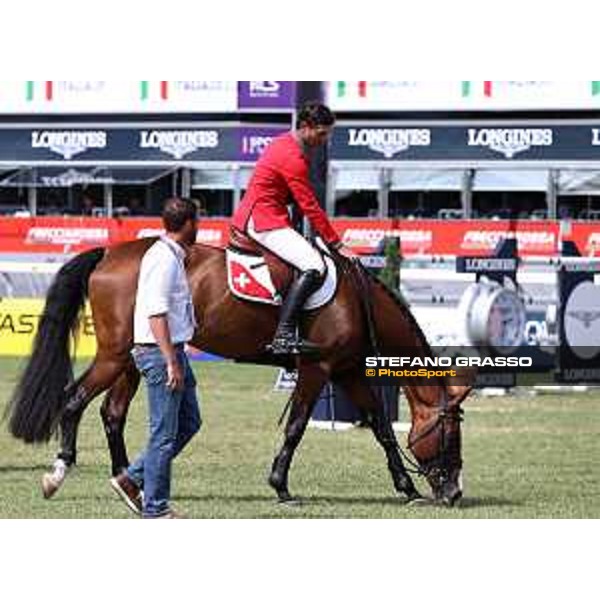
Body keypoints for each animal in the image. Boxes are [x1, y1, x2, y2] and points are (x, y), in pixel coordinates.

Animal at [7, 237, 472, 508]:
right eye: (450, 434)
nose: (454, 493)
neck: (358, 302)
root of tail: (110, 252)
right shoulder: (317, 368)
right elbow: (297, 427)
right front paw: (280, 486)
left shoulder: (348, 371)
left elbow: (381, 427)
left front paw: (407, 487)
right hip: (115, 355)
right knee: (73, 400)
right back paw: (60, 472)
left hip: (131, 360)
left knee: (112, 414)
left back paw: (128, 481)